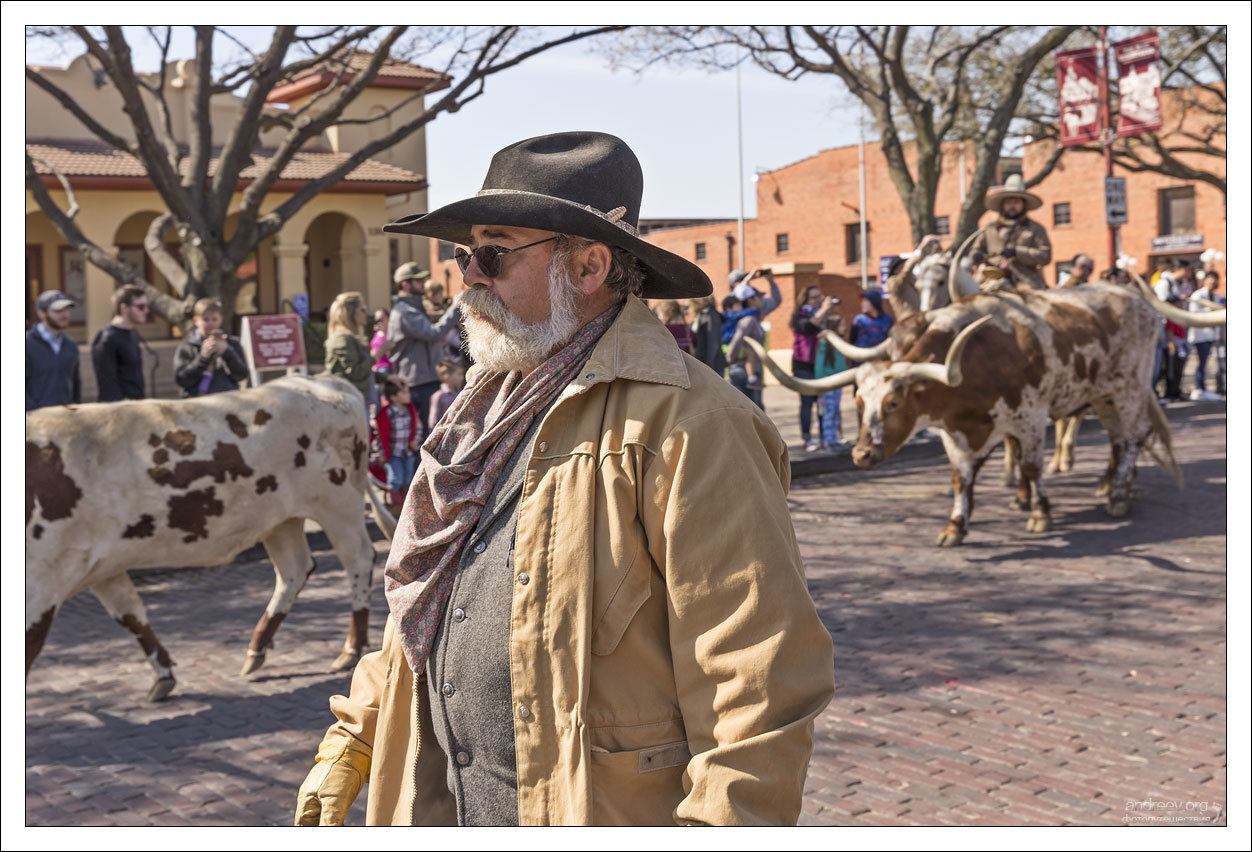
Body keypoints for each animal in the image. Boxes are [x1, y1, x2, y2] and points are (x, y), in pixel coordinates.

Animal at [26, 372, 388, 695]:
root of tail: (323, 380)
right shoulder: (100, 568)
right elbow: (131, 615)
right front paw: (163, 675)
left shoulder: (42, 585)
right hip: (281, 519)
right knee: (294, 571)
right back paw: (256, 650)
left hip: (338, 504)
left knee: (358, 559)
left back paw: (350, 649)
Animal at [751, 278, 1181, 545]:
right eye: (858, 401)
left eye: (894, 403)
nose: (860, 454)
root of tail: (1136, 299)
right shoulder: (954, 431)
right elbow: (960, 478)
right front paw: (955, 525)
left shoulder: (1030, 417)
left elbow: (1030, 468)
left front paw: (1039, 514)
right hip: (1104, 394)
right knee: (1119, 439)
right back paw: (1113, 485)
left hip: (1130, 387)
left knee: (1132, 436)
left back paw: (1119, 495)